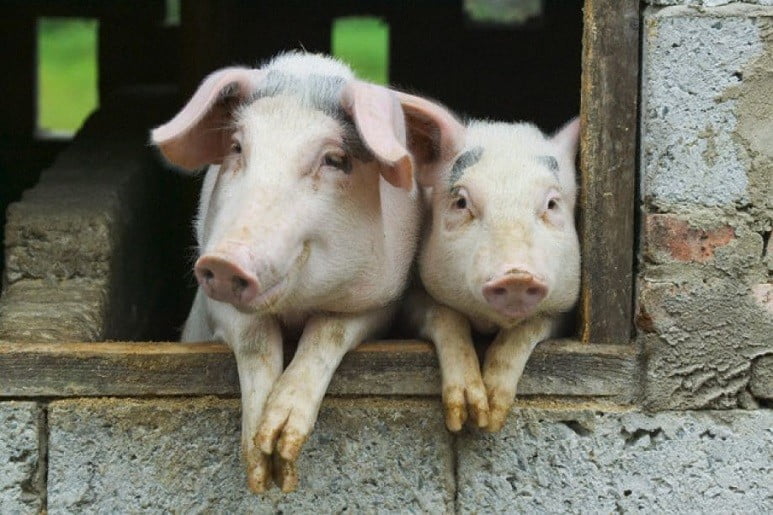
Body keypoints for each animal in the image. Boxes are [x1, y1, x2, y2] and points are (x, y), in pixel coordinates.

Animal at [149, 54, 456, 494]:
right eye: (237, 147)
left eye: (334, 160)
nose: (225, 262)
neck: (294, 309)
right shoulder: (210, 304)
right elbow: (254, 338)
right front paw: (262, 462)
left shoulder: (379, 299)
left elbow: (328, 331)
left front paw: (280, 447)